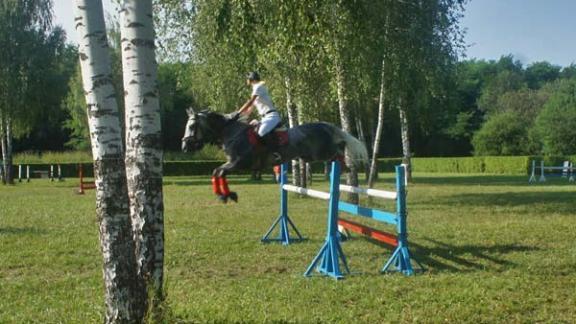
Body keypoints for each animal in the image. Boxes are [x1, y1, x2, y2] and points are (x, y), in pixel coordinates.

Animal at [182, 107, 366, 201]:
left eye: (192, 126)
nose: (184, 146)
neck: (233, 133)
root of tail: (324, 125)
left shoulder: (239, 163)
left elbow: (219, 172)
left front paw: (227, 195)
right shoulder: (233, 164)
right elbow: (217, 172)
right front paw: (224, 195)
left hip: (320, 153)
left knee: (340, 147)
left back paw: (347, 165)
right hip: (311, 156)